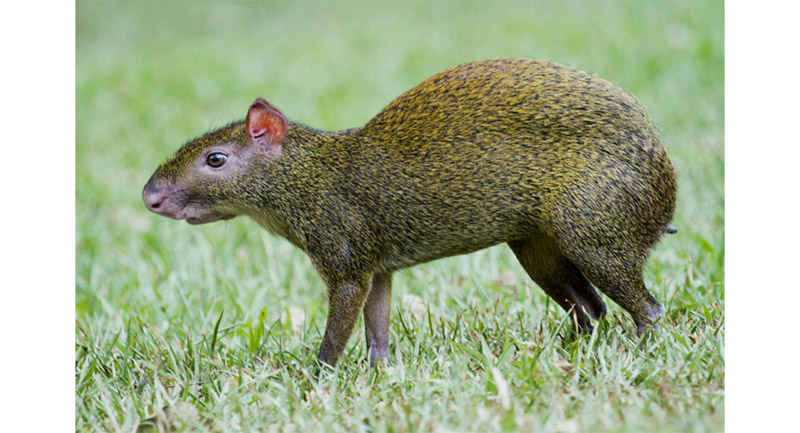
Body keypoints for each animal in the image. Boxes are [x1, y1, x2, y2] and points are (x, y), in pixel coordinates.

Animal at [143, 58, 677, 368]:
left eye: (215, 160)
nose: (149, 196)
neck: (312, 180)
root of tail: (664, 189)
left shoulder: (346, 263)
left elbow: (337, 334)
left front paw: (317, 375)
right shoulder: (378, 268)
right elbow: (377, 327)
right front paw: (378, 371)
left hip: (595, 235)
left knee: (647, 309)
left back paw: (640, 352)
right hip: (536, 245)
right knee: (591, 310)